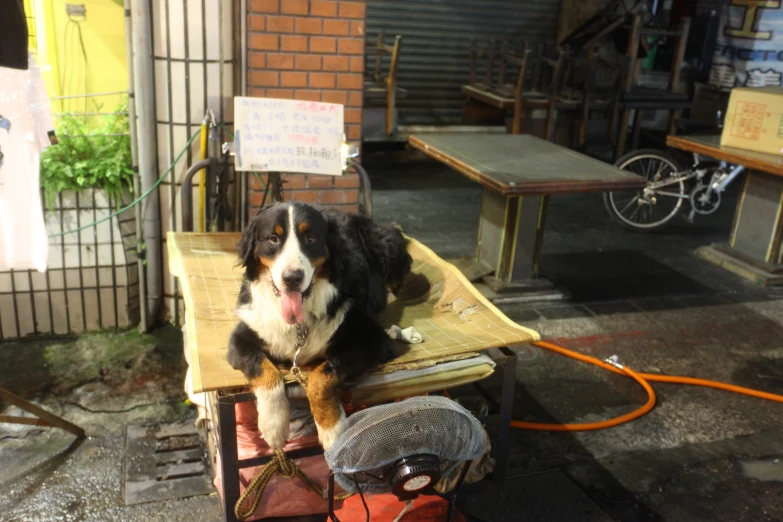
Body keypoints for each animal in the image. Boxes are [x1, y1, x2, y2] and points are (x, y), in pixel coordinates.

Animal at [225, 201, 410, 448]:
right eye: (273, 238)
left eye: (310, 239)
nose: (292, 278)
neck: (299, 322)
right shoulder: (242, 337)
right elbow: (262, 368)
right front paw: (273, 424)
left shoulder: (371, 339)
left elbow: (321, 375)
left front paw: (332, 429)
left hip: (389, 245)